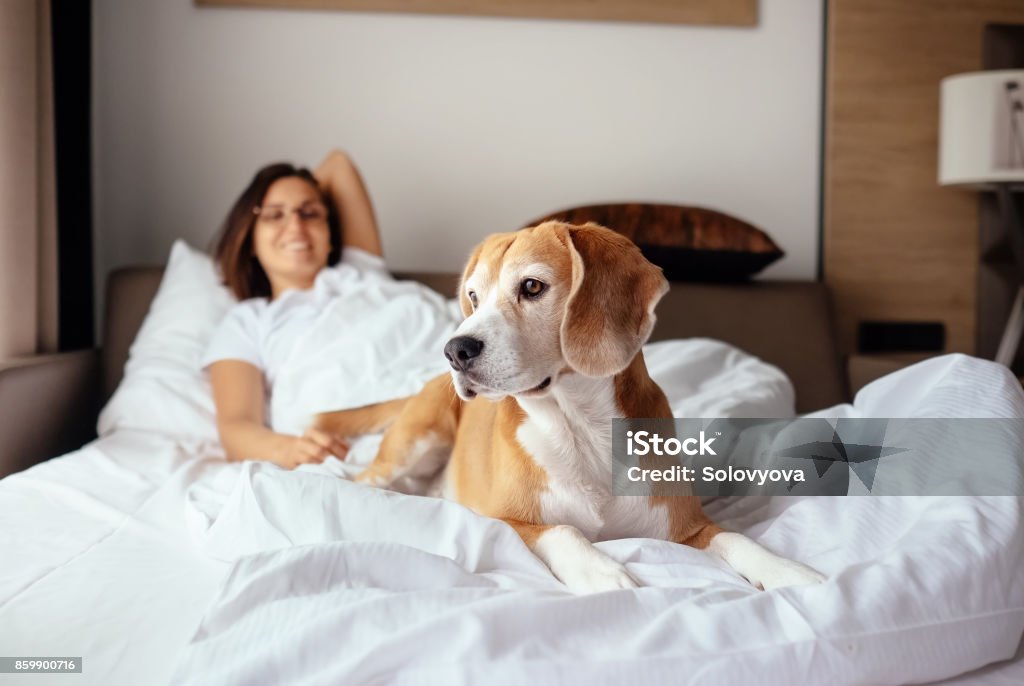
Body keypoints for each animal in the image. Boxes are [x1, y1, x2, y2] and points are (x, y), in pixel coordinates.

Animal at [315, 222, 827, 597]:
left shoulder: (688, 526)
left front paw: (789, 571)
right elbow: (563, 531)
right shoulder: (504, 520)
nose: (454, 350)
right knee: (363, 479)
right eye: (474, 297)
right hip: (414, 444)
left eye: (532, 286)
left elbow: (737, 537)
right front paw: (602, 573)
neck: (579, 427)